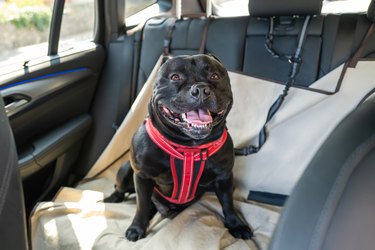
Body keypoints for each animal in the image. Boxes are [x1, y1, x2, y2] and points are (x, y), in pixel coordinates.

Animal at [104, 54, 254, 240]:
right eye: (175, 77)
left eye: (214, 76)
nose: (201, 90)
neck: (188, 146)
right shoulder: (142, 176)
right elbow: (141, 205)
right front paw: (137, 228)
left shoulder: (224, 177)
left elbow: (228, 203)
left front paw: (236, 224)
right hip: (126, 169)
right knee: (121, 188)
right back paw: (113, 198)